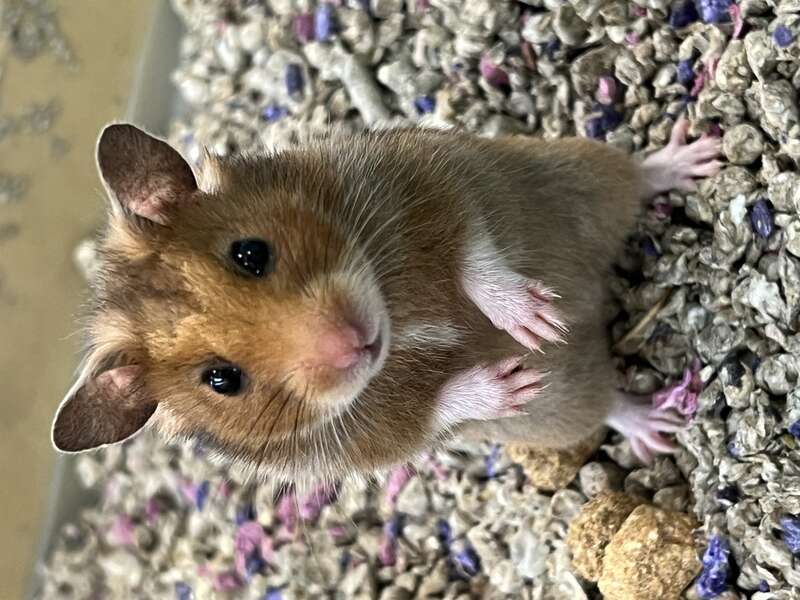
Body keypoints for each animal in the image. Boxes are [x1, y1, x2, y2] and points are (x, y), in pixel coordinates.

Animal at [51, 119, 721, 484]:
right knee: (609, 405)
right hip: (560, 412)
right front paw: (509, 378)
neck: (398, 319)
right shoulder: (365, 444)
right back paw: (648, 420)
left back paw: (691, 160)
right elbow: (435, 409)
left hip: (581, 171)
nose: (357, 343)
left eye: (250, 254)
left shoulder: (431, 179)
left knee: (636, 174)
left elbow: (473, 255)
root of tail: (599, 303)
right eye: (221, 380)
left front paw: (535, 321)